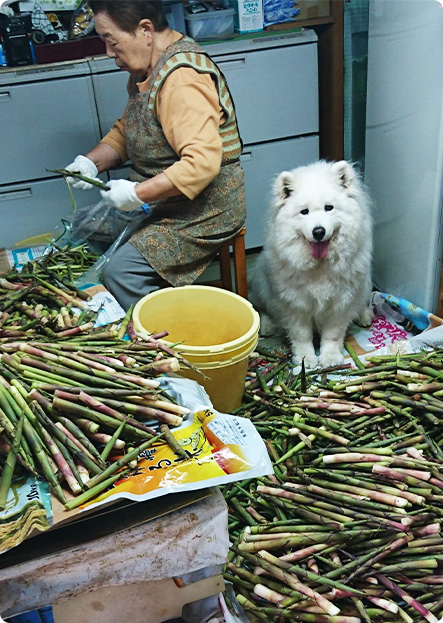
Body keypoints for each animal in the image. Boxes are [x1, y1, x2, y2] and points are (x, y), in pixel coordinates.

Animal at [250, 158, 374, 370]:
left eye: (329, 208)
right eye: (304, 212)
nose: (318, 231)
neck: (319, 266)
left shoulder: (340, 302)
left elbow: (332, 335)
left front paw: (330, 357)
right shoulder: (295, 303)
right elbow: (302, 336)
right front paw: (305, 359)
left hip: (364, 285)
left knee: (363, 303)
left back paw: (364, 316)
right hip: (262, 284)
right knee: (261, 307)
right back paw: (265, 326)